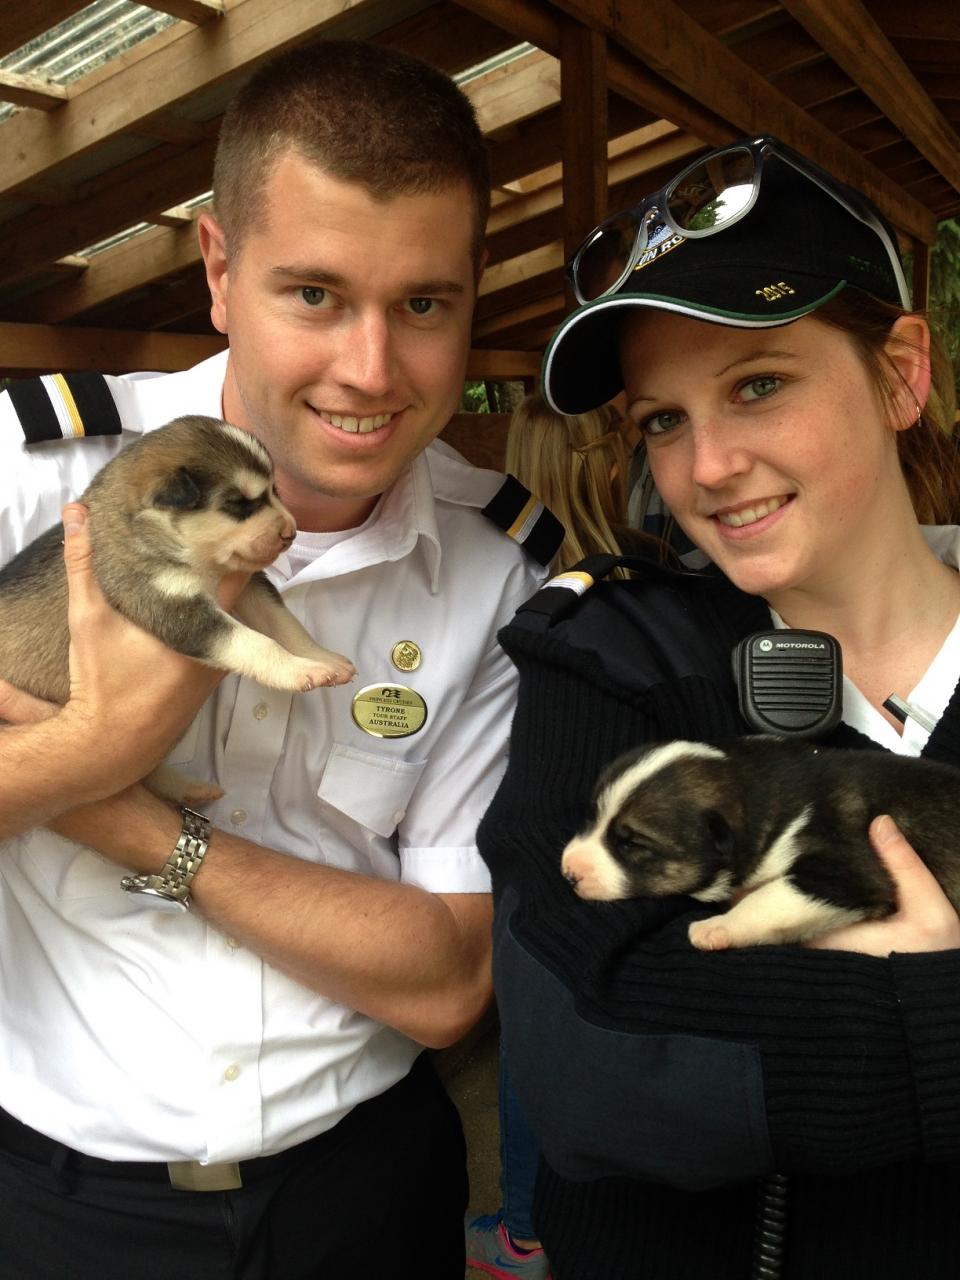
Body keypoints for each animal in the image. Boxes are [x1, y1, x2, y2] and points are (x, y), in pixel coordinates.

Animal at [0, 414, 358, 798]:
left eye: (275, 492)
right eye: (238, 504)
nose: (290, 532)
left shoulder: (251, 586)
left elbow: (286, 624)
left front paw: (323, 659)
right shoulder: (174, 604)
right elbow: (258, 643)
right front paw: (298, 670)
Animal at [560, 742, 960, 952]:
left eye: (631, 845)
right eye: (590, 817)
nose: (568, 873)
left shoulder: (848, 872)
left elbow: (771, 898)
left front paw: (716, 928)